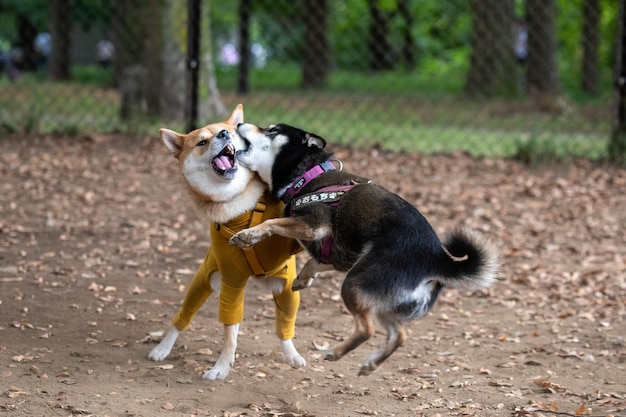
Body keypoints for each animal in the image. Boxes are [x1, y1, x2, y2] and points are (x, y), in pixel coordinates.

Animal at [146, 105, 302, 378]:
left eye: (229, 131)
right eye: (201, 142)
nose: (223, 134)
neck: (238, 202)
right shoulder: (231, 281)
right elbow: (229, 333)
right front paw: (221, 367)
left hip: (287, 293)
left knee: (284, 328)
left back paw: (292, 355)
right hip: (204, 282)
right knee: (187, 318)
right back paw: (163, 348)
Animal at [229, 122, 498, 376]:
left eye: (272, 130)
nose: (239, 125)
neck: (307, 176)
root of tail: (437, 260)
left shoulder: (314, 226)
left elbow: (272, 223)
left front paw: (247, 236)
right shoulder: (343, 256)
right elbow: (314, 262)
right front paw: (303, 279)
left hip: (354, 283)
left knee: (367, 330)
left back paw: (336, 352)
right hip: (381, 300)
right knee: (400, 335)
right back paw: (371, 363)